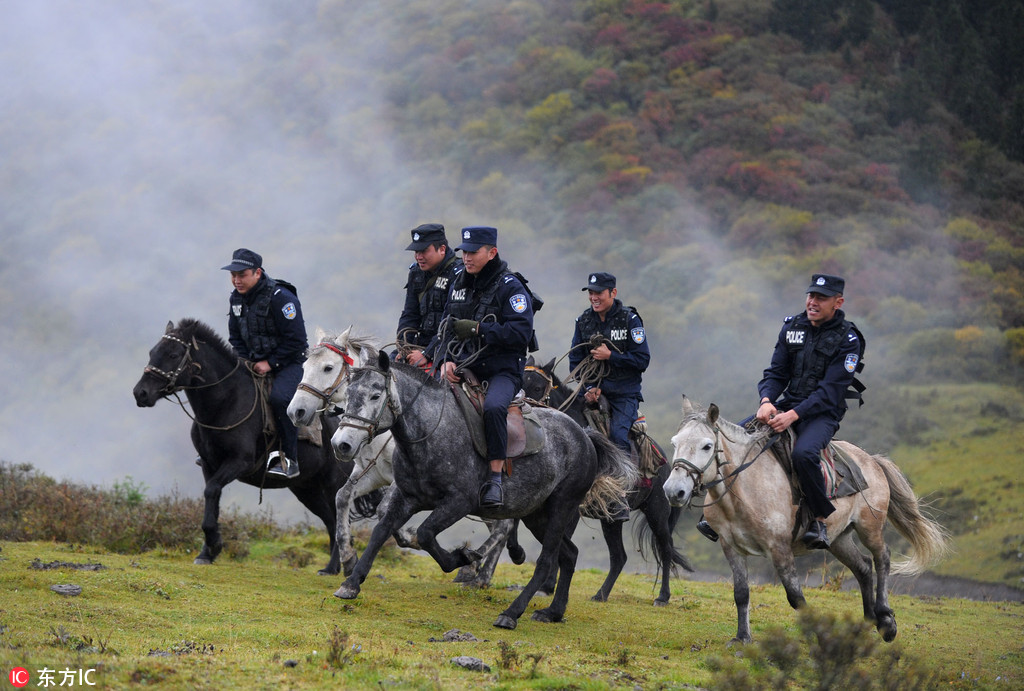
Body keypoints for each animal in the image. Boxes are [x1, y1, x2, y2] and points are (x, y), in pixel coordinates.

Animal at [331, 354, 634, 630]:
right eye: (348, 393)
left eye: (375, 395)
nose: (341, 444)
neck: (433, 430)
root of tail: (585, 436)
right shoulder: (407, 498)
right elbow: (381, 531)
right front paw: (351, 582)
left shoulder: (458, 503)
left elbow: (425, 534)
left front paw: (463, 558)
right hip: (537, 515)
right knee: (568, 555)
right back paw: (553, 612)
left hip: (562, 507)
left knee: (547, 560)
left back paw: (511, 613)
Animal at [524, 356, 692, 606]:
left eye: (537, 387)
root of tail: (668, 466)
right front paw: (547, 586)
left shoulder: (571, 505)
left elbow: (558, 540)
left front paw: (547, 585)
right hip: (611, 519)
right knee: (619, 557)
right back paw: (601, 594)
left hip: (657, 513)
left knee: (665, 549)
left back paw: (662, 596)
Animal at [659, 397, 946, 646]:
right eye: (674, 443)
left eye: (707, 445)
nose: (674, 491)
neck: (746, 489)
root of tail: (871, 460)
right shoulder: (731, 548)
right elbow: (741, 594)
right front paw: (742, 638)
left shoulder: (780, 549)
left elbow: (796, 597)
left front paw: (818, 634)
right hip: (838, 538)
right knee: (863, 567)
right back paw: (867, 622)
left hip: (870, 527)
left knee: (882, 558)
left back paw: (886, 621)